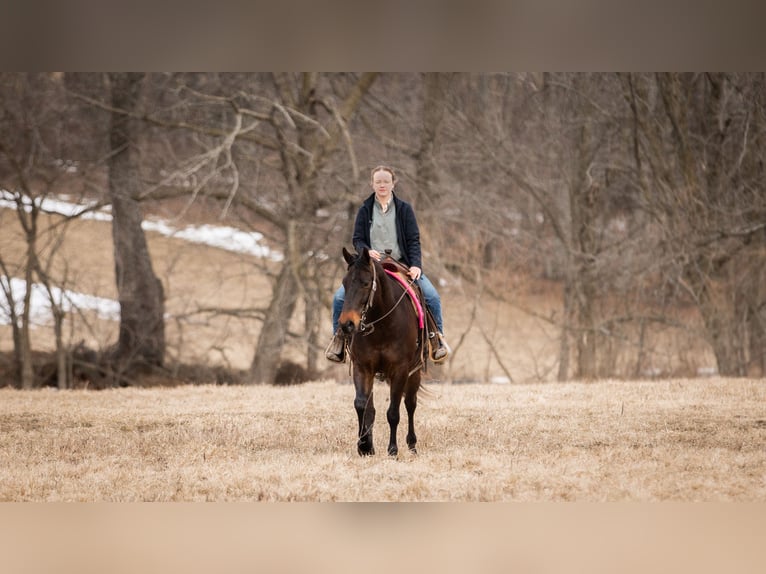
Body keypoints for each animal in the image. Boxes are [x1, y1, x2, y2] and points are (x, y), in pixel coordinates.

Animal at [340, 248, 428, 460]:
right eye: (344, 283)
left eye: (365, 283)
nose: (347, 324)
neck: (382, 325)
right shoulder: (363, 367)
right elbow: (362, 405)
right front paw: (364, 446)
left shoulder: (400, 370)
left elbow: (393, 412)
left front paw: (393, 450)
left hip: (415, 373)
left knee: (410, 404)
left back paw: (412, 445)